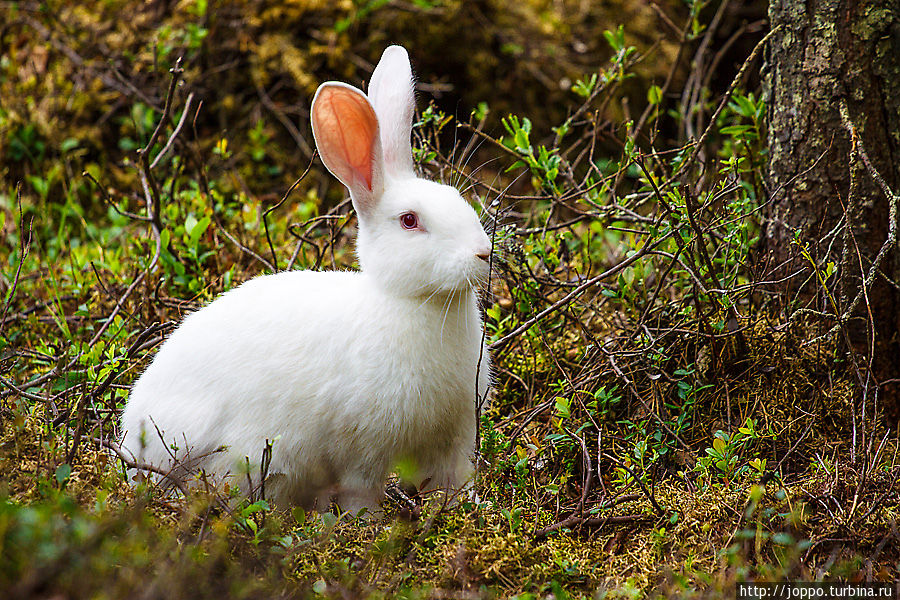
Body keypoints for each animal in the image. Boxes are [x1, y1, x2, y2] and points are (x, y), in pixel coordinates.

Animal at [119, 45, 492, 516]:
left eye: (457, 198)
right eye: (410, 221)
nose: (484, 253)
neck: (414, 301)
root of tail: (133, 450)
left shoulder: (455, 436)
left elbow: (455, 480)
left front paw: (466, 509)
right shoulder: (362, 449)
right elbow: (360, 491)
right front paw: (368, 523)